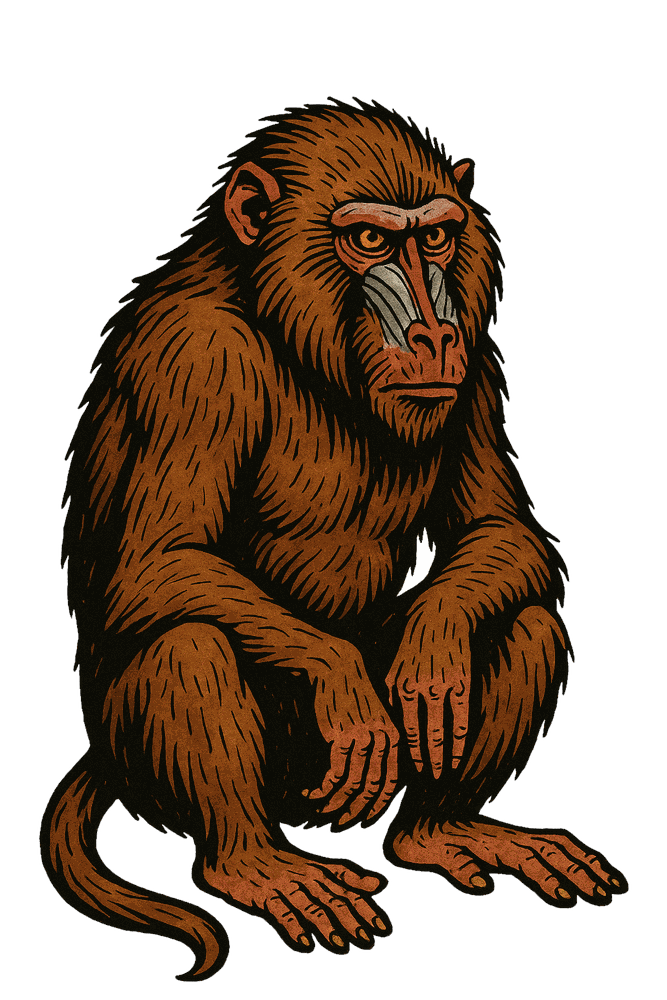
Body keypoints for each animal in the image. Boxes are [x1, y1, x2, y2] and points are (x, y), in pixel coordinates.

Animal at [40, 99, 629, 983]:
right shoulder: (189, 360)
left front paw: (432, 650)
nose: (431, 331)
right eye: (371, 242)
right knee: (188, 643)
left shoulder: (478, 363)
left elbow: (501, 532)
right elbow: (159, 561)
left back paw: (441, 828)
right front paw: (343, 679)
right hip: (154, 764)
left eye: (435, 237)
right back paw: (255, 864)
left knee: (524, 620)